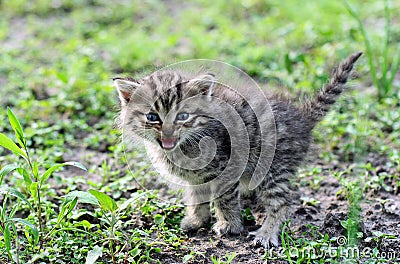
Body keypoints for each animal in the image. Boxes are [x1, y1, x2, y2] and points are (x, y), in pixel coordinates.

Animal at [112, 52, 362, 248]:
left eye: (182, 116)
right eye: (152, 117)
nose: (168, 132)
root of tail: (302, 117)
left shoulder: (226, 166)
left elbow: (224, 199)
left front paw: (229, 225)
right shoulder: (196, 177)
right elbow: (196, 196)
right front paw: (197, 220)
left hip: (274, 166)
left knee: (281, 202)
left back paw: (267, 233)